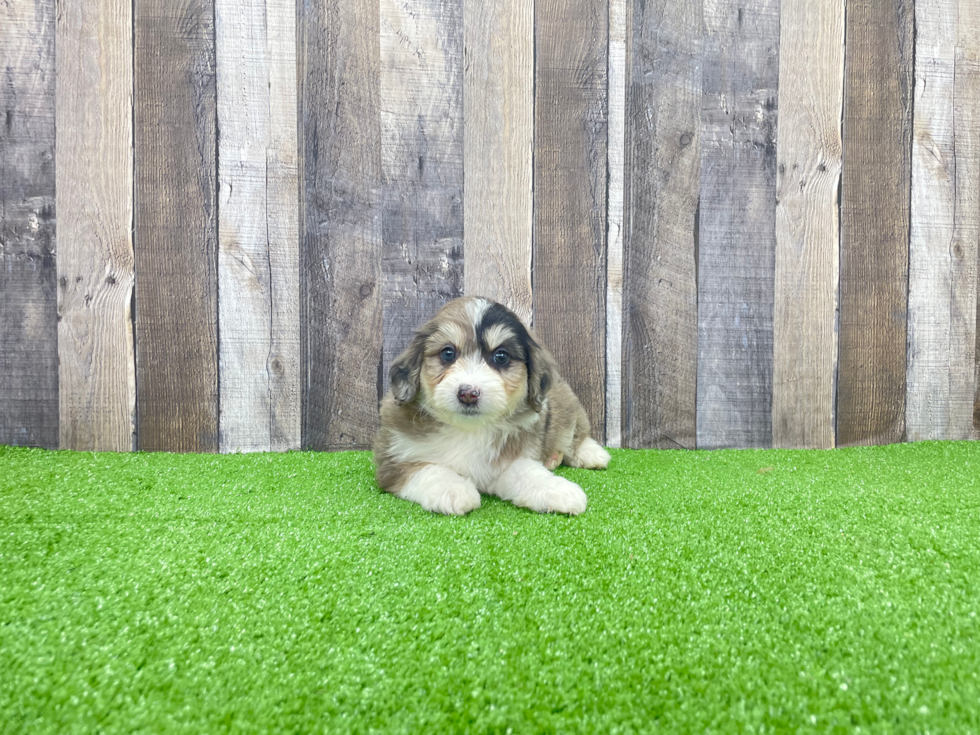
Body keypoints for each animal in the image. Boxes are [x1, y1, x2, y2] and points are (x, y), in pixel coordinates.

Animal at [372, 296, 608, 516]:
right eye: (448, 353)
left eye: (501, 356)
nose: (468, 394)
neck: (469, 430)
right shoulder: (393, 460)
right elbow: (430, 469)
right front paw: (453, 489)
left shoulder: (507, 461)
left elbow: (528, 472)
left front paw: (558, 490)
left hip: (565, 408)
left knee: (574, 433)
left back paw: (592, 454)